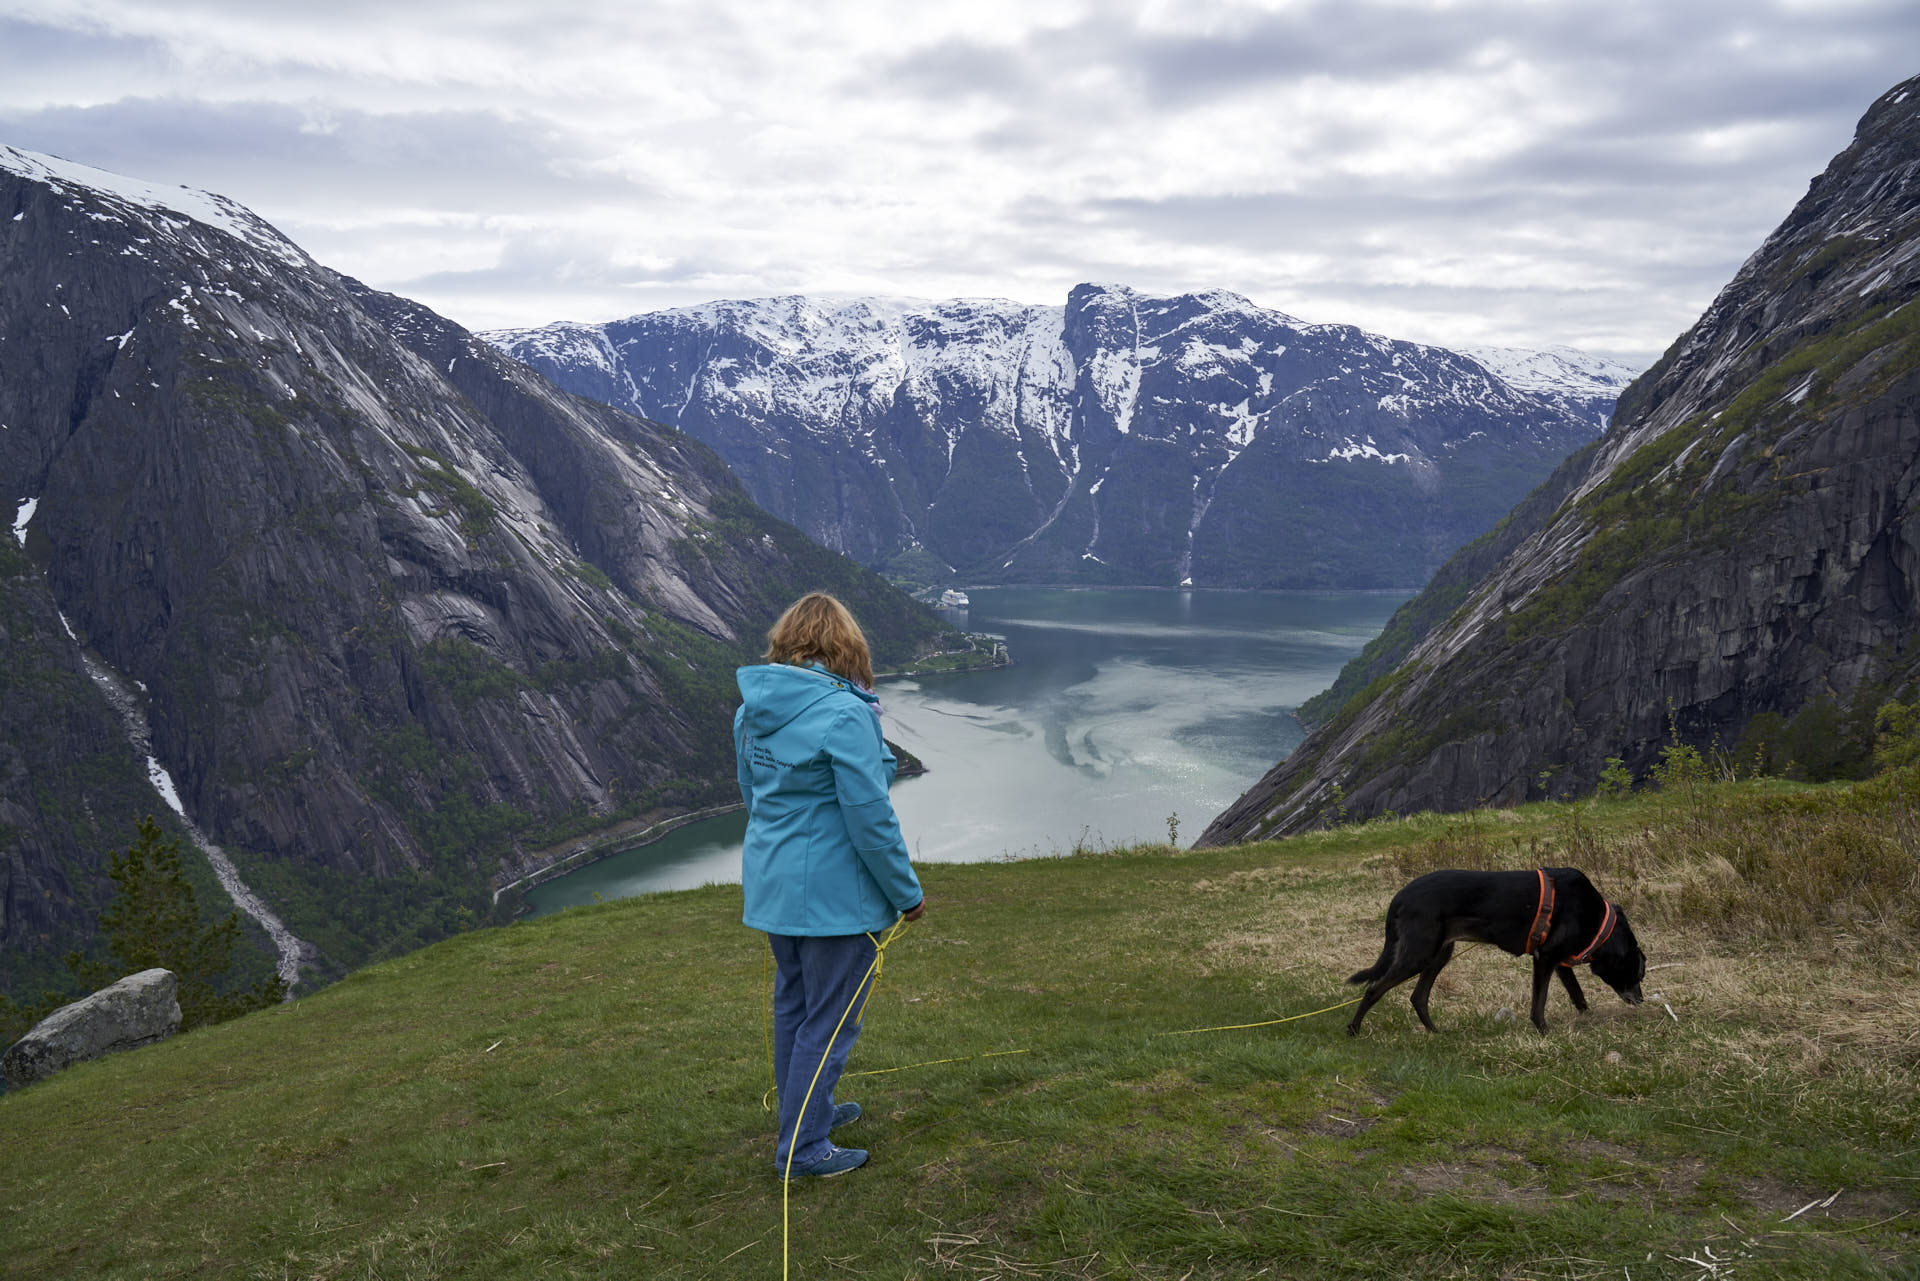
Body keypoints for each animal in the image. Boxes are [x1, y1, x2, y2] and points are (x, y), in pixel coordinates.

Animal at [1344, 868, 1643, 1037]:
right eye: (1638, 973)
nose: (1640, 1000)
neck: (1599, 920)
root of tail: (1400, 895)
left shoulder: (1559, 962)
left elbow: (1577, 994)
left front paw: (1586, 1018)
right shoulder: (1545, 958)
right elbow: (1539, 1002)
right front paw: (1545, 1033)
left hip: (1440, 953)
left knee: (1418, 997)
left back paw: (1435, 1032)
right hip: (1419, 953)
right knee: (1373, 988)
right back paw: (1354, 1030)